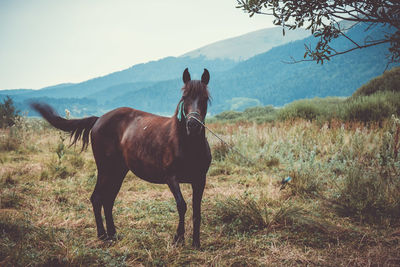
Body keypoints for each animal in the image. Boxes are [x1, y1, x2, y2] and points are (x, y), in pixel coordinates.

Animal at [30, 69, 212, 249]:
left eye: (205, 98)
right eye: (184, 97)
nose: (193, 125)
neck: (186, 144)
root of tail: (98, 119)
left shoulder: (199, 180)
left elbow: (197, 210)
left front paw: (196, 243)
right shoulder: (171, 178)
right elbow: (182, 205)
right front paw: (178, 239)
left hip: (118, 171)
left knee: (108, 200)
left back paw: (113, 234)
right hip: (105, 169)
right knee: (97, 198)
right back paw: (103, 235)